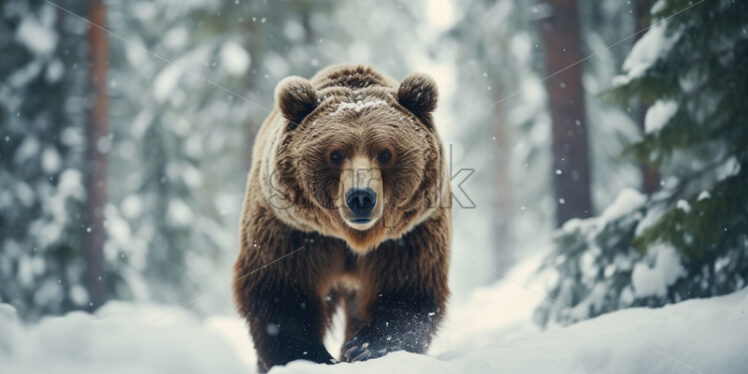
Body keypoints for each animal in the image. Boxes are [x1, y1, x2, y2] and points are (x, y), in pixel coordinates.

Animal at [232, 64, 450, 372]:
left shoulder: (409, 235)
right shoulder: (292, 231)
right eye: (335, 154)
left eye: (385, 153)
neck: (352, 238)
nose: (361, 197)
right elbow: (281, 293)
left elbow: (407, 290)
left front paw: (363, 348)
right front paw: (311, 357)